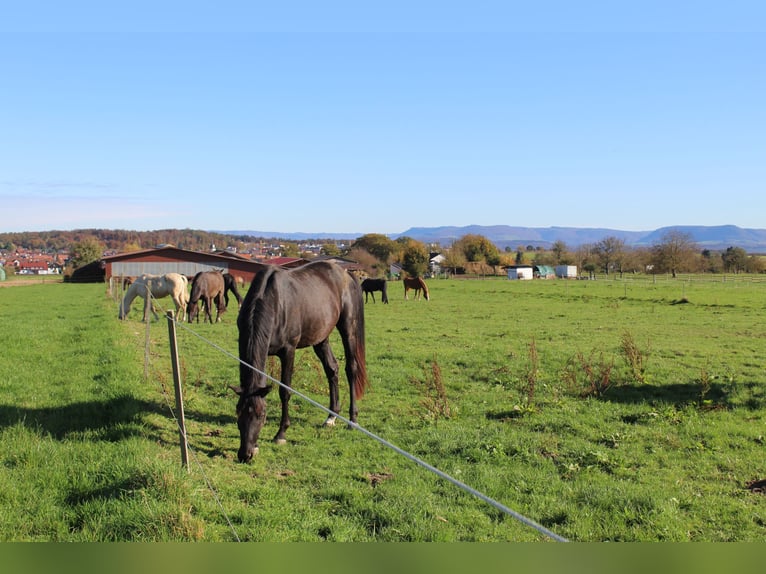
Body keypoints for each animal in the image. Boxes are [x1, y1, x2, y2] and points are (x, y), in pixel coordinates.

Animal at [231, 260, 368, 464]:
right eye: (238, 412)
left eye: (262, 415)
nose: (245, 454)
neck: (272, 300)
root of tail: (346, 274)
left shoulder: (288, 351)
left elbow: (285, 391)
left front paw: (281, 434)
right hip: (321, 338)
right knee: (332, 369)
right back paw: (331, 417)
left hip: (348, 329)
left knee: (351, 369)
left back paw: (352, 420)